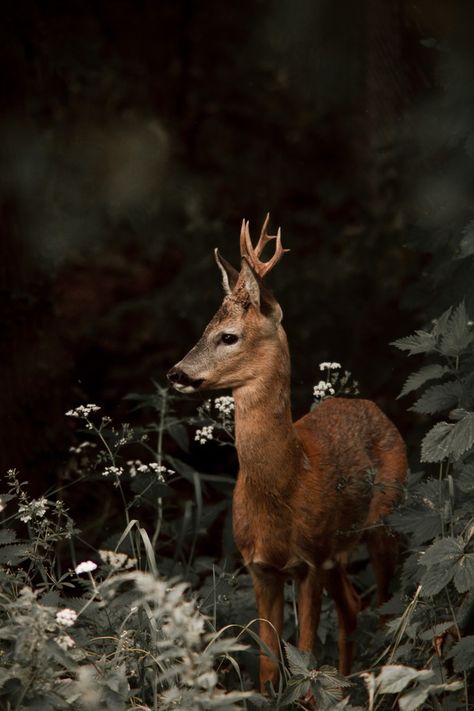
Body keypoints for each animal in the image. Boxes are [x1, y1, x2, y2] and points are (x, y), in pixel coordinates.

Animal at [168, 216, 408, 696]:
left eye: (228, 336)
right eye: (203, 330)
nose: (177, 373)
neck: (287, 484)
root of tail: (369, 407)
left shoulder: (308, 563)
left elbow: (306, 662)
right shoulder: (260, 566)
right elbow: (268, 666)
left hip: (384, 522)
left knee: (384, 607)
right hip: (337, 553)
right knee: (353, 606)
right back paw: (347, 682)